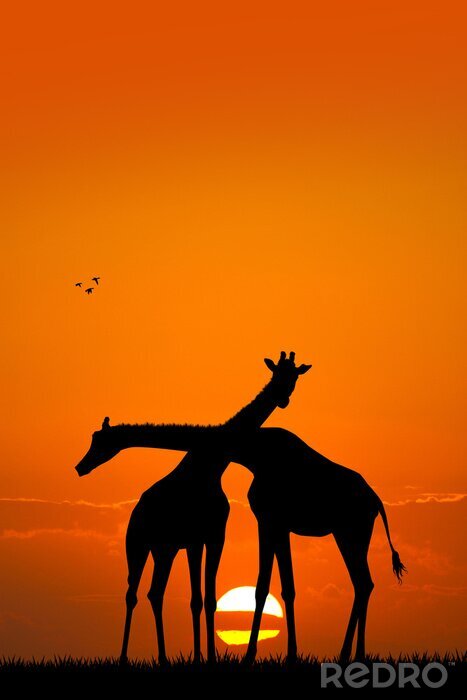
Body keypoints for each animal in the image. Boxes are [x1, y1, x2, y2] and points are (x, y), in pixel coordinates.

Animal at [75, 352, 311, 663]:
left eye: (293, 377)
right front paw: (204, 655)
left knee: (155, 592)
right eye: (275, 375)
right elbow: (200, 599)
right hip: (136, 545)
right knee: (132, 593)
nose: (80, 467)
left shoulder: (207, 537)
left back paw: (163, 658)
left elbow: (204, 599)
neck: (211, 465)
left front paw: (206, 657)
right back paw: (125, 658)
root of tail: (135, 512)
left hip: (164, 549)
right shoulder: (200, 539)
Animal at [76, 426, 406, 664]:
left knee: (363, 582)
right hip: (350, 534)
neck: (252, 452)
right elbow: (283, 587)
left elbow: (263, 588)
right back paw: (351, 655)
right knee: (364, 583)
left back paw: (350, 655)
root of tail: (376, 500)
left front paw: (252, 655)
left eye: (99, 441)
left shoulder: (269, 520)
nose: (81, 466)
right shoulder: (276, 524)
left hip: (350, 532)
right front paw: (288, 654)